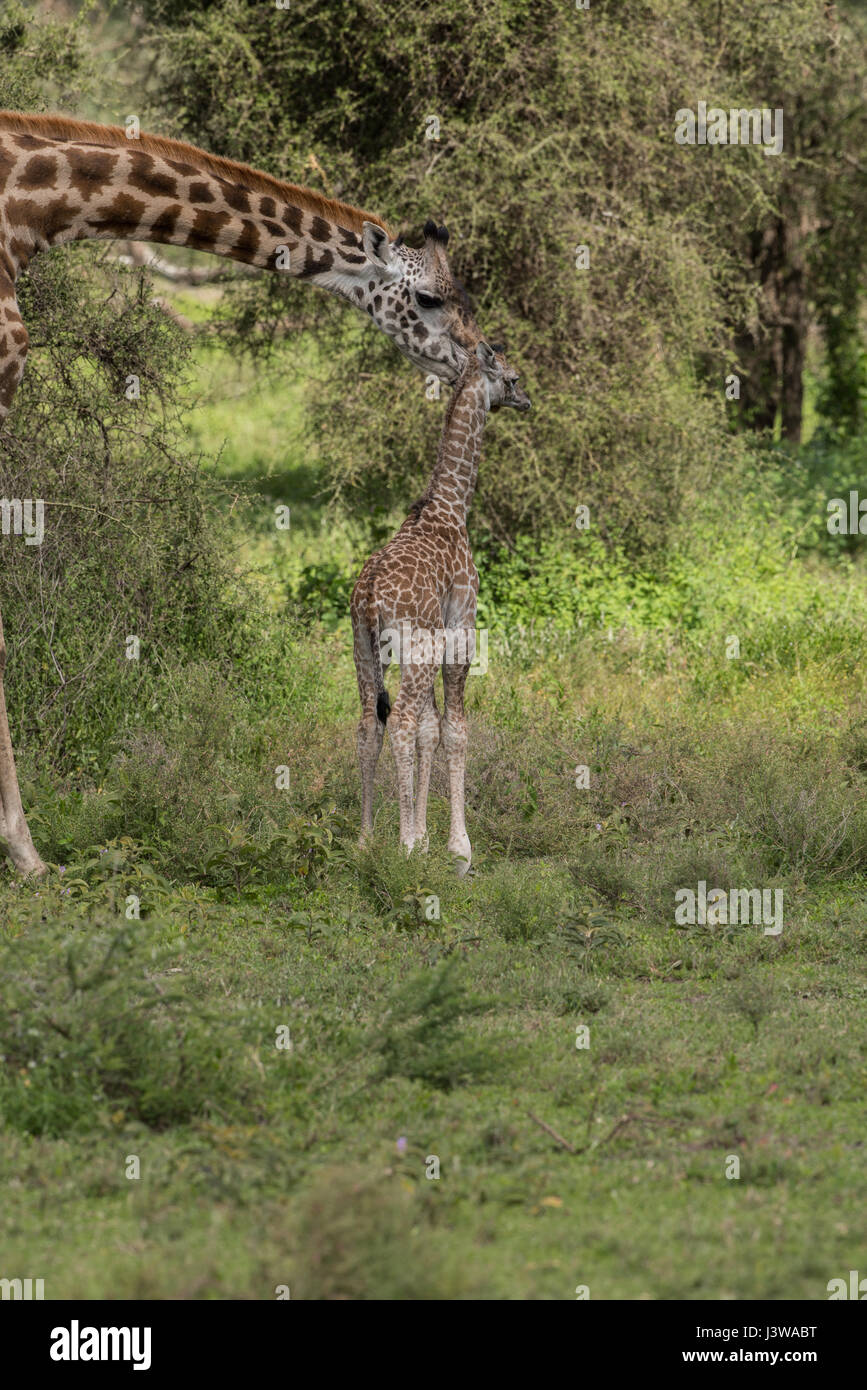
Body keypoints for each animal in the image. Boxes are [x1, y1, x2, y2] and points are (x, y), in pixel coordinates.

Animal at [350, 341, 527, 872]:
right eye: (511, 378)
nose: (526, 400)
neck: (450, 506)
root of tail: (369, 598)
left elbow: (431, 728)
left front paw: (426, 836)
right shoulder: (461, 628)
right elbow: (454, 728)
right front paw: (455, 848)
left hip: (363, 649)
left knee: (370, 725)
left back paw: (366, 841)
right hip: (416, 648)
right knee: (402, 722)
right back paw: (403, 845)